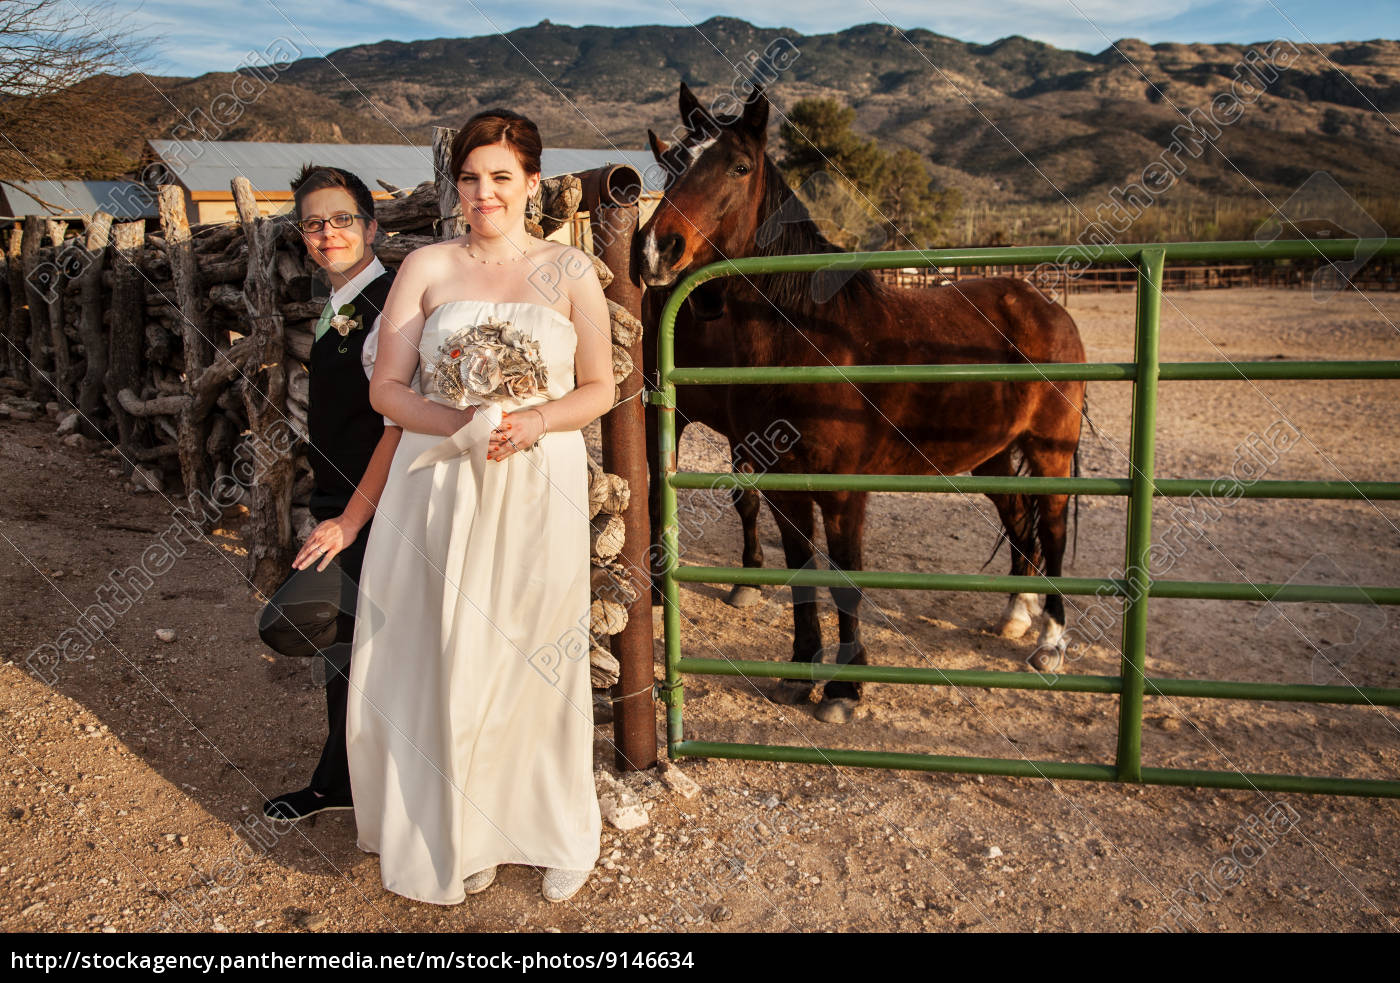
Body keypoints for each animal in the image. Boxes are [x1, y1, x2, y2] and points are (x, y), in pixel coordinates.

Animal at [641, 86, 1086, 722]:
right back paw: (1016, 615)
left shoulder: (843, 492)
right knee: (1019, 520)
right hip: (995, 456)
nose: (656, 248)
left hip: (1050, 452)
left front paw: (844, 688)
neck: (810, 336)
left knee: (1051, 529)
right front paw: (800, 670)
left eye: (739, 167)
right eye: (674, 163)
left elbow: (844, 579)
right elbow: (801, 572)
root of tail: (1042, 303)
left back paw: (1050, 643)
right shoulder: (782, 485)